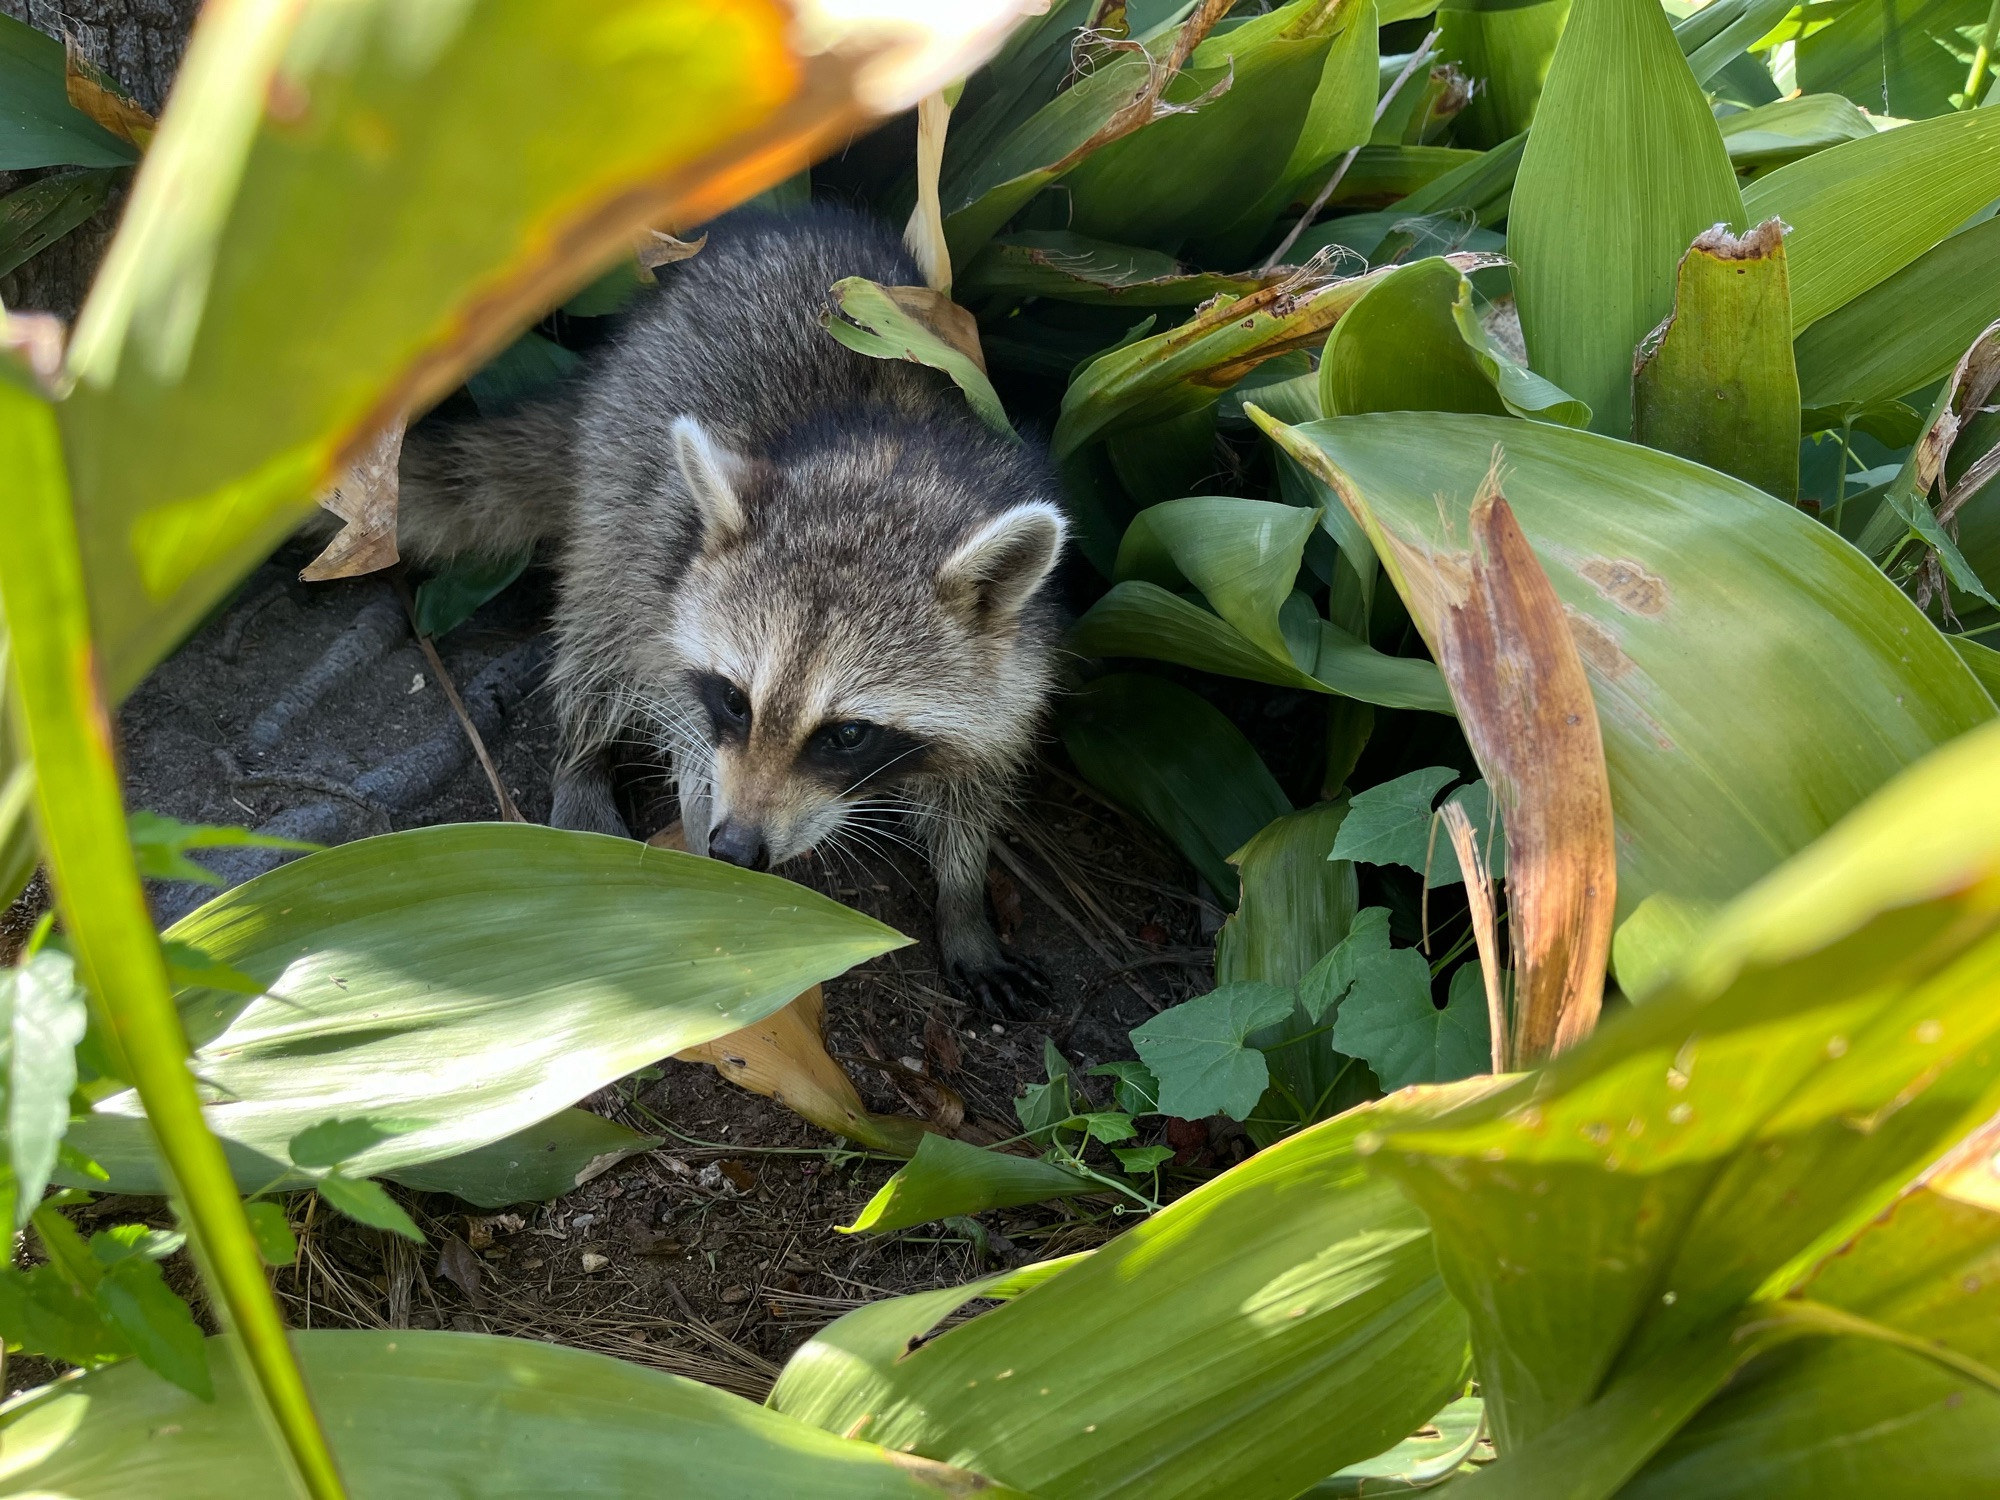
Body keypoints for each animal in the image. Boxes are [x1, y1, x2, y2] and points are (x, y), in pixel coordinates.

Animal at [396, 203, 1072, 1024]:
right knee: (595, 627)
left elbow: (976, 786)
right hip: (621, 465)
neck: (890, 476)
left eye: (848, 734)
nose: (736, 849)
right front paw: (703, 856)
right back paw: (582, 756)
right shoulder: (667, 575)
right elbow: (673, 715)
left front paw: (964, 900)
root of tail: (763, 227)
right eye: (734, 700)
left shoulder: (1020, 660)